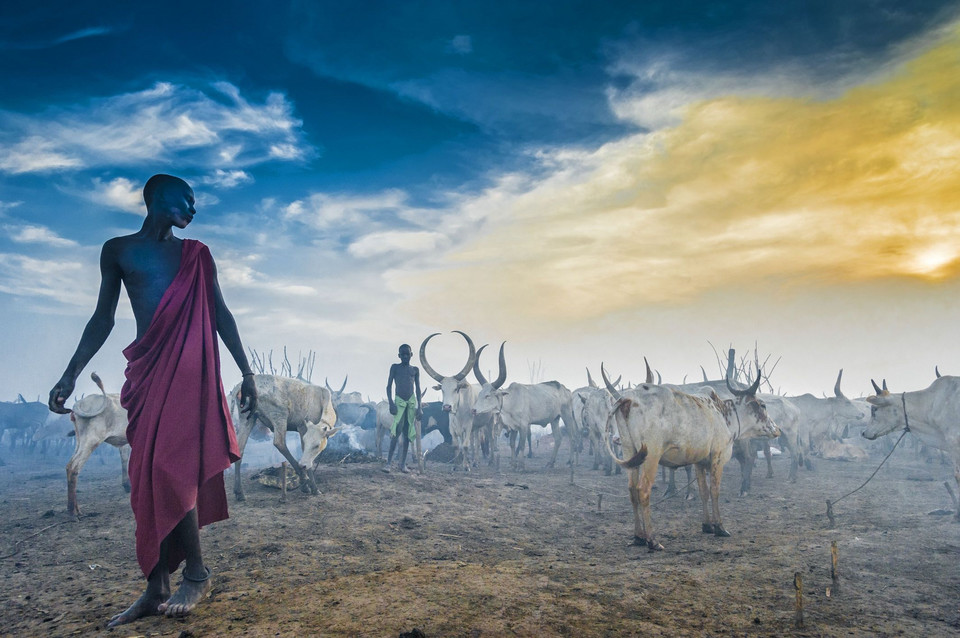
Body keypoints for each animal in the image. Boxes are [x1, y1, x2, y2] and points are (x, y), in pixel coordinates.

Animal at [63, 372, 130, 516]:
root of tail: (78, 404)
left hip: (80, 441)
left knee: (69, 465)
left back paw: (73, 508)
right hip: (91, 441)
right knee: (74, 467)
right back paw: (73, 512)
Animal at [230, 372, 342, 502]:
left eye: (317, 445)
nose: (302, 464)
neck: (324, 401)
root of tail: (239, 386)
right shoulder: (302, 427)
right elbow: (304, 452)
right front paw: (314, 488)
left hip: (248, 416)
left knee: (240, 448)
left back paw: (239, 492)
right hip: (279, 414)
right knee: (279, 443)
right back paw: (304, 480)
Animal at [600, 368, 780, 552]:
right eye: (763, 405)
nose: (777, 429)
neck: (724, 415)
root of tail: (628, 398)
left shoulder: (699, 462)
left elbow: (703, 492)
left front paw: (707, 525)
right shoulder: (718, 456)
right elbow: (714, 491)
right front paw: (719, 527)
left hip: (630, 451)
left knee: (631, 490)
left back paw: (638, 537)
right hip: (651, 455)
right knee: (643, 490)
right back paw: (652, 540)